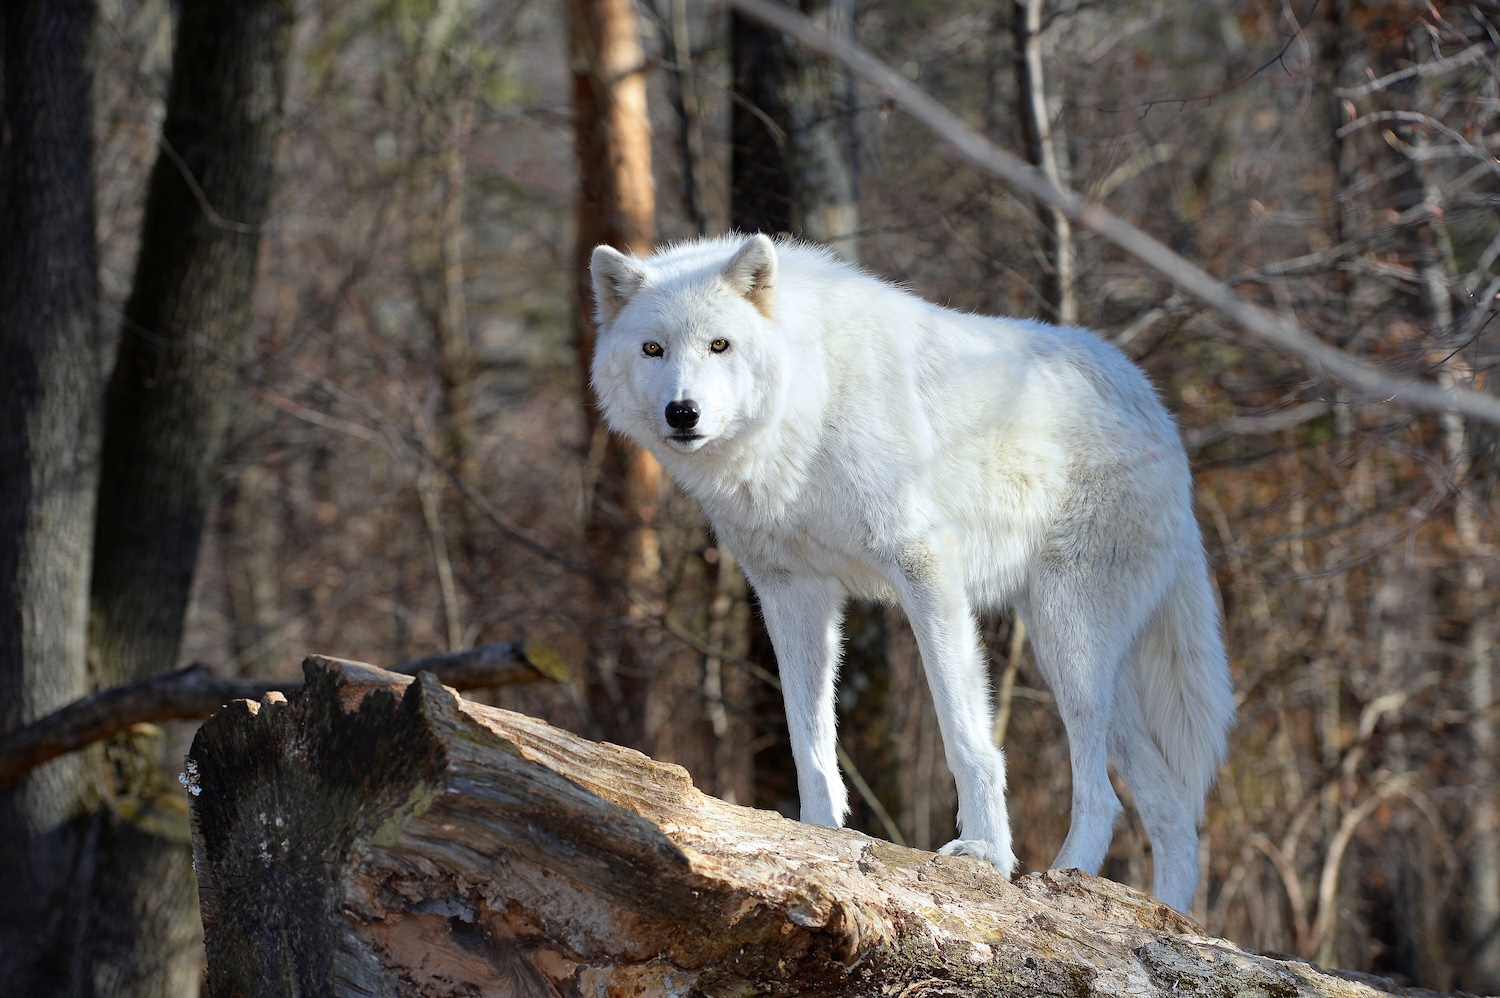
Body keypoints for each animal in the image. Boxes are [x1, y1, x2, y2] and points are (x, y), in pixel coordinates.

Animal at [588, 233, 1234, 912]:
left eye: (720, 345)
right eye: (653, 349)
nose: (681, 412)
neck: (810, 407)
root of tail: (1153, 405)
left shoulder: (925, 569)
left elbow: (967, 738)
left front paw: (985, 855)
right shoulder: (791, 594)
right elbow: (809, 741)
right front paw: (816, 836)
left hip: (1071, 645)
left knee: (1106, 798)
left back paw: (1063, 885)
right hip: (1083, 664)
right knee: (1171, 808)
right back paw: (1167, 916)